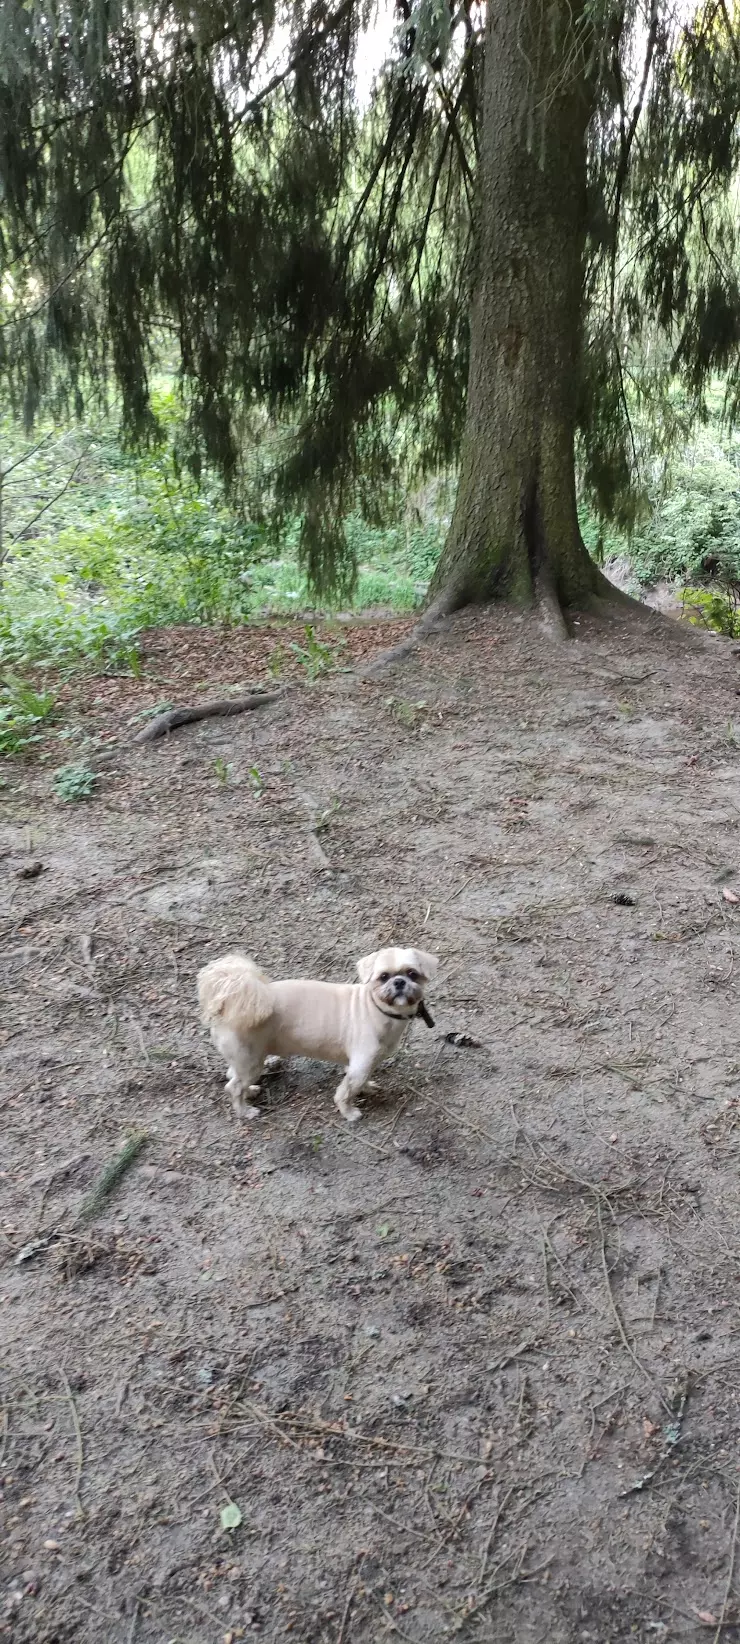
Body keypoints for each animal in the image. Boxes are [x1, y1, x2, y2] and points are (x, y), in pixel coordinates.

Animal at [198, 946, 440, 1124]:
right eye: (383, 977)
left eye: (412, 974)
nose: (399, 982)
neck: (377, 1009)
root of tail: (226, 1005)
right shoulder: (360, 1065)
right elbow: (345, 1092)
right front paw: (349, 1112)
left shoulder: (365, 1063)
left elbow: (361, 1081)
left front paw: (367, 1088)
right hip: (251, 1060)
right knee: (233, 1086)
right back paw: (245, 1111)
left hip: (247, 1058)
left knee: (233, 1075)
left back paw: (251, 1092)